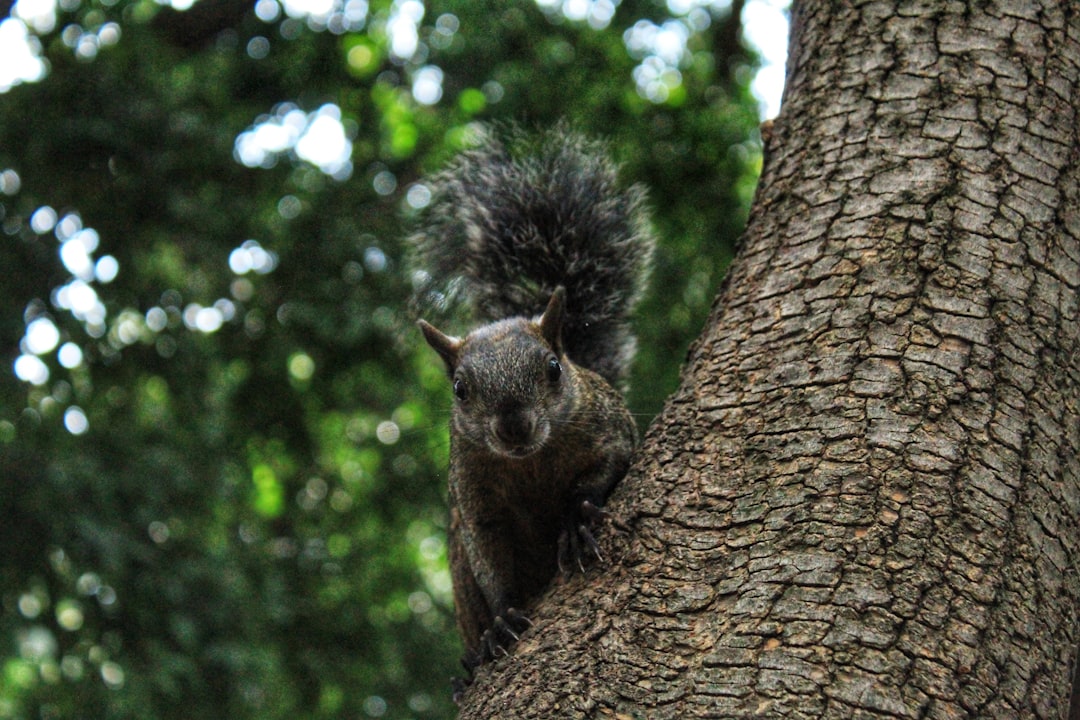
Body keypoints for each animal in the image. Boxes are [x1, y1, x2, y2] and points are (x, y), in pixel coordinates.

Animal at [410, 125, 648, 677]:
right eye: (459, 389)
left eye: (553, 369)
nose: (514, 428)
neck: (530, 463)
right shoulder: (475, 497)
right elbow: (490, 558)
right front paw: (501, 620)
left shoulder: (611, 431)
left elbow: (602, 471)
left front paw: (576, 522)